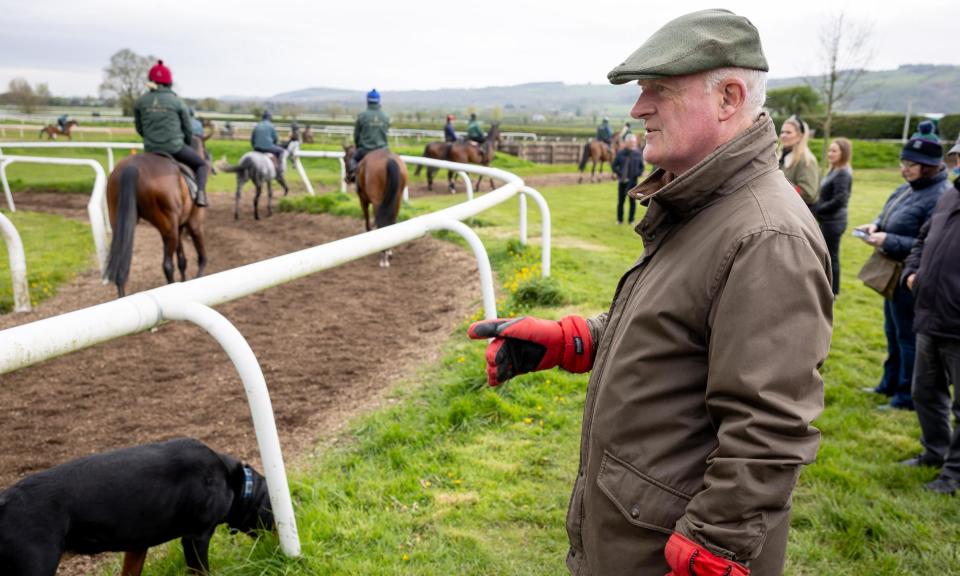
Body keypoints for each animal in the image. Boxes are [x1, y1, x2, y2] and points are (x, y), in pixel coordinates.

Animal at [105, 152, 206, 296]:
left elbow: (182, 259)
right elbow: (200, 255)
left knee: (121, 268)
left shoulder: (177, 227)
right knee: (167, 265)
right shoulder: (194, 222)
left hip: (120, 223)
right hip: (170, 228)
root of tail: (132, 166)